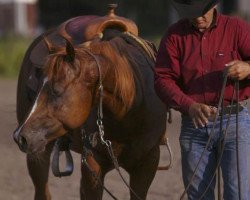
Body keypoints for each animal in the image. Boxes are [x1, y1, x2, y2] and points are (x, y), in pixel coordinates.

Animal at [12, 17, 167, 200]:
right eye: (34, 90)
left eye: (57, 90)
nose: (20, 136)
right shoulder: (92, 165)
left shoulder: (148, 163)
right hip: (38, 153)